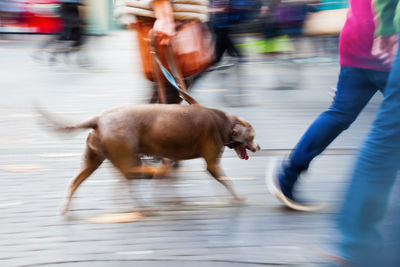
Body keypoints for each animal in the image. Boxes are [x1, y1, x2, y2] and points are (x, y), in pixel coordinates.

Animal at [38, 103, 260, 215]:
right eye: (252, 136)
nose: (259, 148)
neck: (225, 124)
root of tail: (99, 119)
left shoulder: (171, 157)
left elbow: (165, 178)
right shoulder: (212, 164)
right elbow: (226, 181)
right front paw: (238, 198)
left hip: (95, 160)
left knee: (76, 182)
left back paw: (66, 208)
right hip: (127, 158)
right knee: (133, 178)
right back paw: (144, 200)